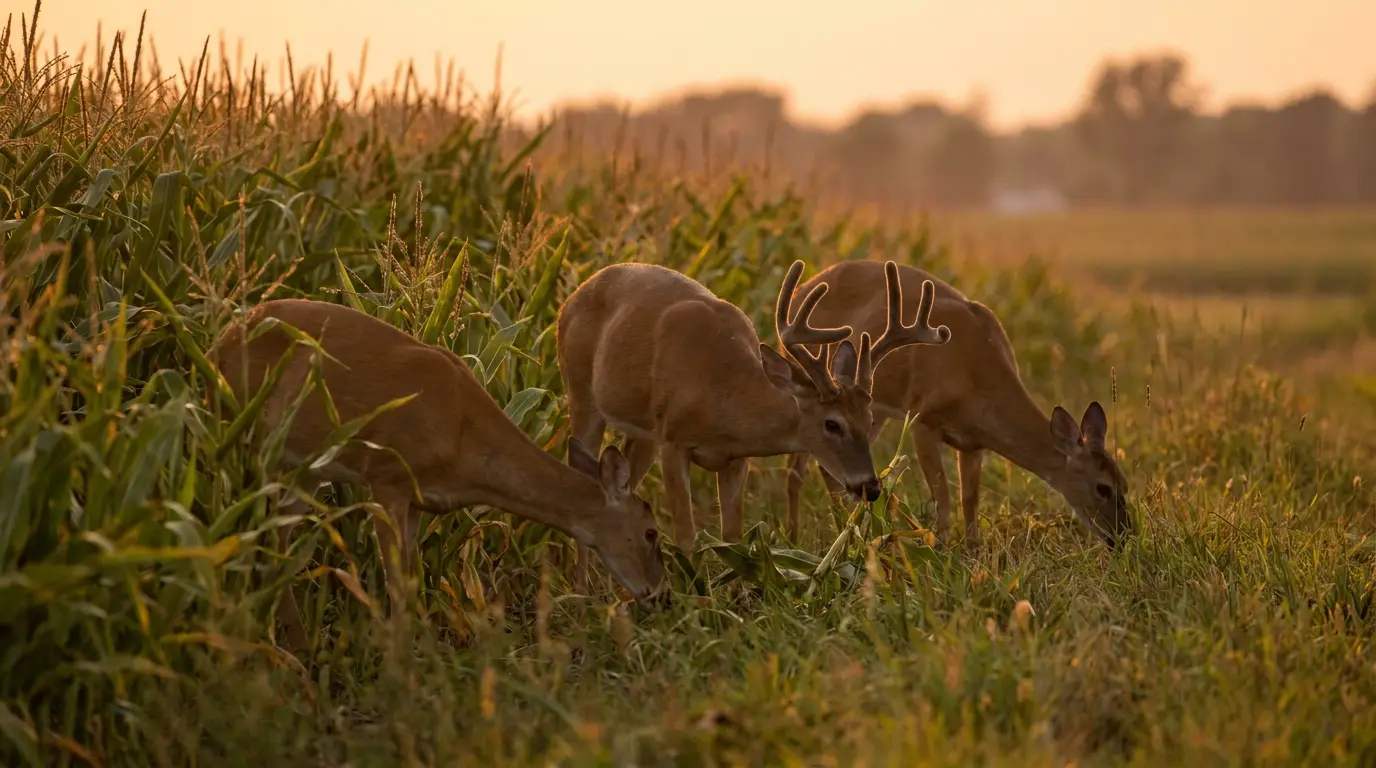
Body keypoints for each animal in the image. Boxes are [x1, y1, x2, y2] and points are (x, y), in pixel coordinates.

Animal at [209, 298, 666, 651]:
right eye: (650, 531)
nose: (657, 593)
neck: (465, 441)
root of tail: (222, 339)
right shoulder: (387, 477)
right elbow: (396, 584)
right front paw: (399, 671)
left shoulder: (418, 501)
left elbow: (411, 583)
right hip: (254, 440)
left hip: (301, 469)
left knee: (275, 543)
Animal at [554, 259, 951, 556]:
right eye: (832, 423)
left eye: (868, 420)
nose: (870, 488)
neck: (720, 394)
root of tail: (571, 297)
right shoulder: (673, 441)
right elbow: (686, 537)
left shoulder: (734, 459)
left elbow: (732, 537)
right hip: (581, 394)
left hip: (643, 434)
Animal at [781, 259, 1132, 550]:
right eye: (1103, 488)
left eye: (1124, 484)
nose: (1123, 537)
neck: (976, 383)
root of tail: (805, 286)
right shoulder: (922, 419)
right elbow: (944, 498)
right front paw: (939, 551)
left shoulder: (973, 444)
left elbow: (969, 500)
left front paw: (972, 552)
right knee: (796, 468)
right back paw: (796, 539)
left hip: (870, 411)